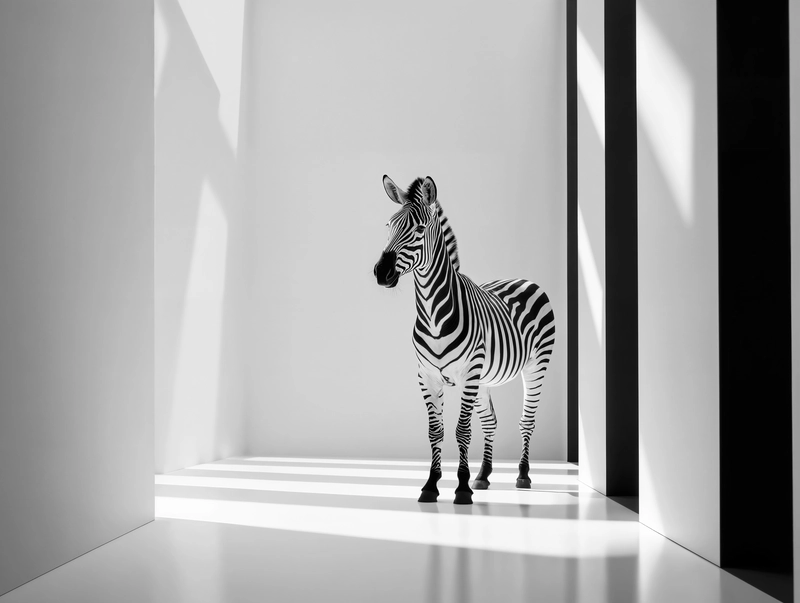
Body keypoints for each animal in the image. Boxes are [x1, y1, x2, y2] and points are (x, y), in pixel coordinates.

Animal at [373, 175, 556, 505]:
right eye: (388, 226)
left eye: (419, 229)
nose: (382, 272)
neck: (434, 314)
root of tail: (523, 279)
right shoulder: (427, 376)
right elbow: (436, 432)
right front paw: (432, 485)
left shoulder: (468, 375)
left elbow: (462, 431)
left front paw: (461, 488)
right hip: (484, 379)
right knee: (491, 421)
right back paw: (483, 475)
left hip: (536, 365)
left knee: (526, 420)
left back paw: (522, 475)